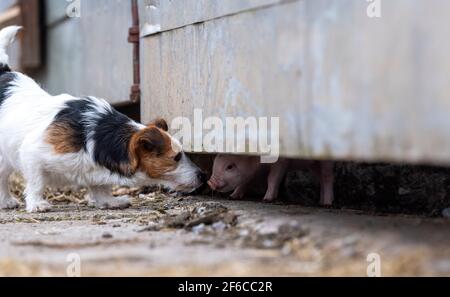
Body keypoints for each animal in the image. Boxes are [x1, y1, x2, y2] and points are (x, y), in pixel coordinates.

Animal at [0, 25, 207, 210]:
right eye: (176, 157)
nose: (203, 175)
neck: (100, 136)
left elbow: (100, 187)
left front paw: (109, 201)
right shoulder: (32, 154)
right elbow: (37, 183)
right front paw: (37, 204)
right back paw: (7, 201)